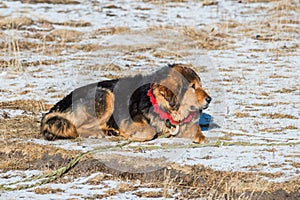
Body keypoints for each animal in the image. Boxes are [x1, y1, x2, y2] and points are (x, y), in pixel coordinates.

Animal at [41, 63, 212, 143]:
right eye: (193, 87)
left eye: (200, 85)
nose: (209, 99)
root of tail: (58, 105)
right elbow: (150, 131)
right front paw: (128, 134)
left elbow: (197, 131)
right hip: (106, 95)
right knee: (78, 128)